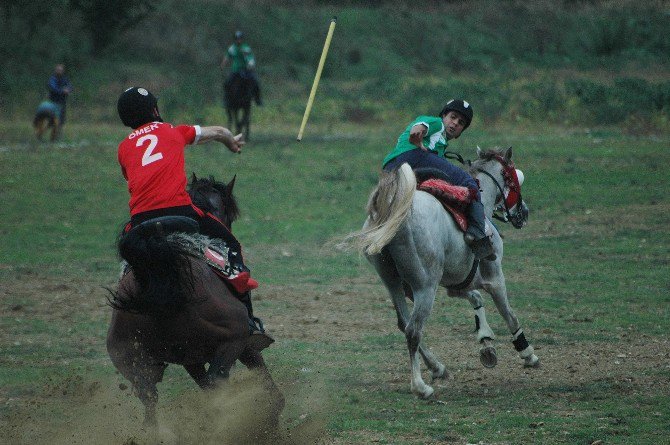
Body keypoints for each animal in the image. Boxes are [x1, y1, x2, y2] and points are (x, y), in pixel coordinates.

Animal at [105, 173, 284, 426]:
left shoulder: (191, 359)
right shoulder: (242, 345)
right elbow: (264, 380)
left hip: (131, 361)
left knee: (151, 402)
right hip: (231, 341)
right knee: (216, 383)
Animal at [346, 147, 540, 398]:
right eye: (515, 181)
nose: (523, 213)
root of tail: (395, 209)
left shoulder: (455, 284)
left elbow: (476, 298)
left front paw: (486, 342)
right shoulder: (495, 278)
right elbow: (510, 314)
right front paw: (527, 353)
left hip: (392, 282)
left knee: (404, 323)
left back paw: (437, 367)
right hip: (425, 287)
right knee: (413, 330)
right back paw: (420, 386)